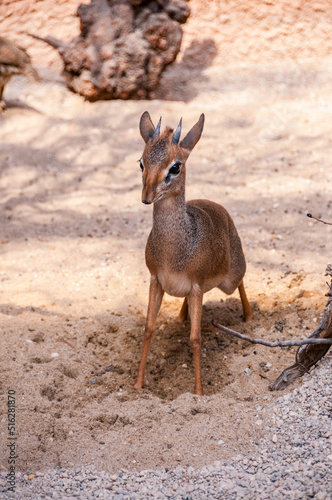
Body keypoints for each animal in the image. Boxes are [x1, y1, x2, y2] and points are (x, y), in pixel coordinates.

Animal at [134, 112, 253, 394]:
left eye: (175, 167)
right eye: (142, 162)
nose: (147, 196)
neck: (172, 252)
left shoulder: (197, 287)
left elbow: (196, 339)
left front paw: (198, 392)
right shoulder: (156, 280)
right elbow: (148, 328)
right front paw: (138, 384)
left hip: (230, 279)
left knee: (243, 279)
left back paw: (249, 316)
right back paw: (181, 317)